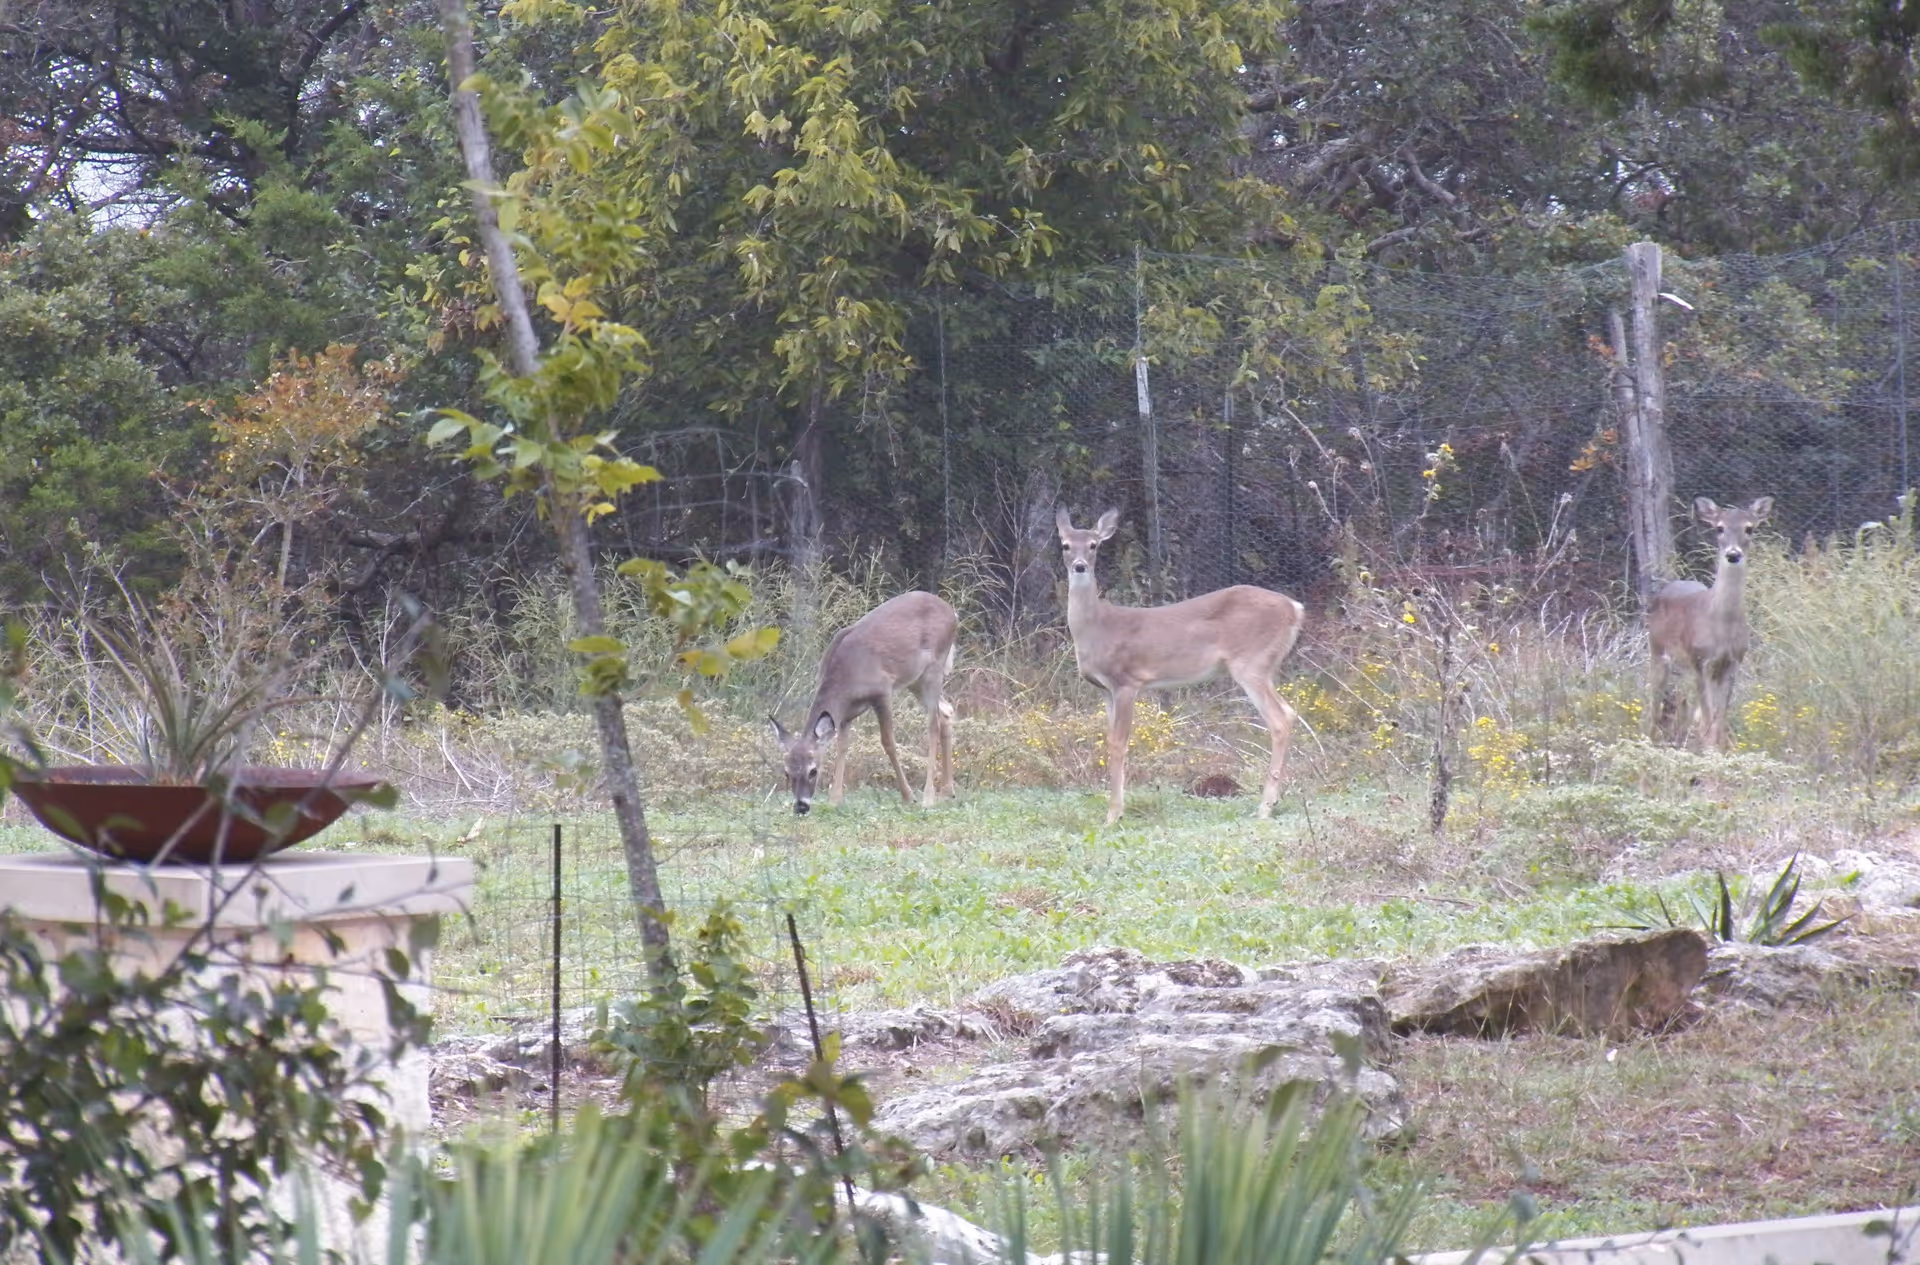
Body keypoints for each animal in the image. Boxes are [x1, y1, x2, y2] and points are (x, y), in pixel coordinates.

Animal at [770, 590, 958, 815]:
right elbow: (842, 745)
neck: (846, 676)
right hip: (916, 680)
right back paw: (947, 792)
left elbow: (888, 742)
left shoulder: (882, 691)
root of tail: (952, 613)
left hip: (934, 668)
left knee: (933, 725)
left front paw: (908, 796)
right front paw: (835, 800)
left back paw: (928, 797)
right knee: (946, 711)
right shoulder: (845, 714)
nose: (801, 806)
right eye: (787, 772)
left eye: (813, 770)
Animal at [1055, 508, 1306, 825]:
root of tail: (1295, 609)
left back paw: (1264, 808)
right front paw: (1114, 810)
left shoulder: (1127, 681)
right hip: (1265, 665)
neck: (1099, 628)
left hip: (1251, 662)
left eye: (1093, 545)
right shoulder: (1104, 690)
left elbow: (1119, 743)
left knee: (1280, 718)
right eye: (1065, 545)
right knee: (1287, 713)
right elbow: (1109, 741)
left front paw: (1113, 815)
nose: (1079, 566)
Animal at [1646, 496, 1773, 752]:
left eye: (1749, 528)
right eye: (1719, 528)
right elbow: (1708, 722)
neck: (1722, 624)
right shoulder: (1700, 661)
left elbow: (1719, 721)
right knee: (1653, 705)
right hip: (1657, 651)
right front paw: (1709, 752)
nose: (1733, 554)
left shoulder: (1732, 663)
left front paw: (1721, 750)